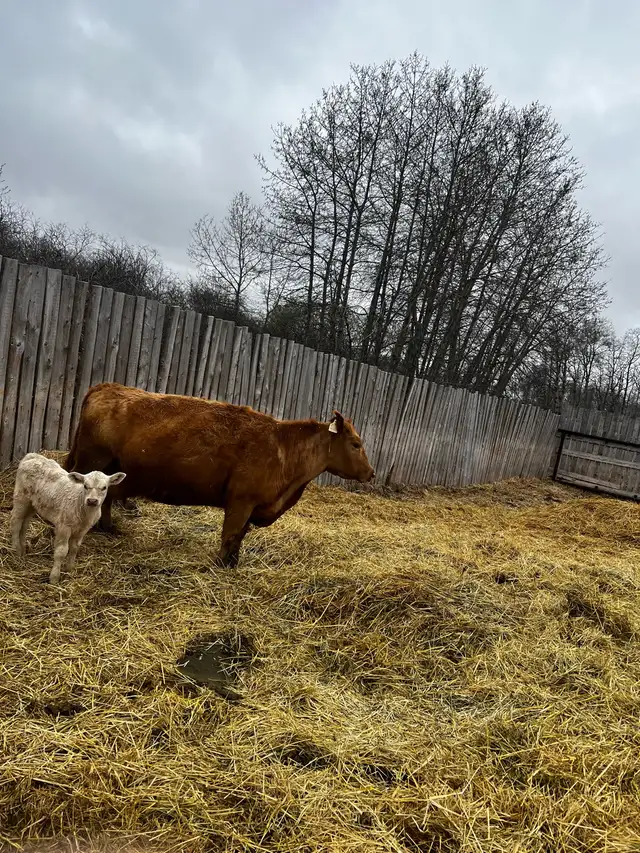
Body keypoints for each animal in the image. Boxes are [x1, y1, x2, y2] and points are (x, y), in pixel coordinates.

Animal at [64, 382, 374, 567]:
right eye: (356, 444)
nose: (371, 473)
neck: (283, 448)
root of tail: (108, 387)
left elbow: (240, 536)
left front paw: (234, 562)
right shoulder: (240, 502)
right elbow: (231, 534)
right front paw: (223, 564)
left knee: (108, 497)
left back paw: (108, 528)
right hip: (93, 461)